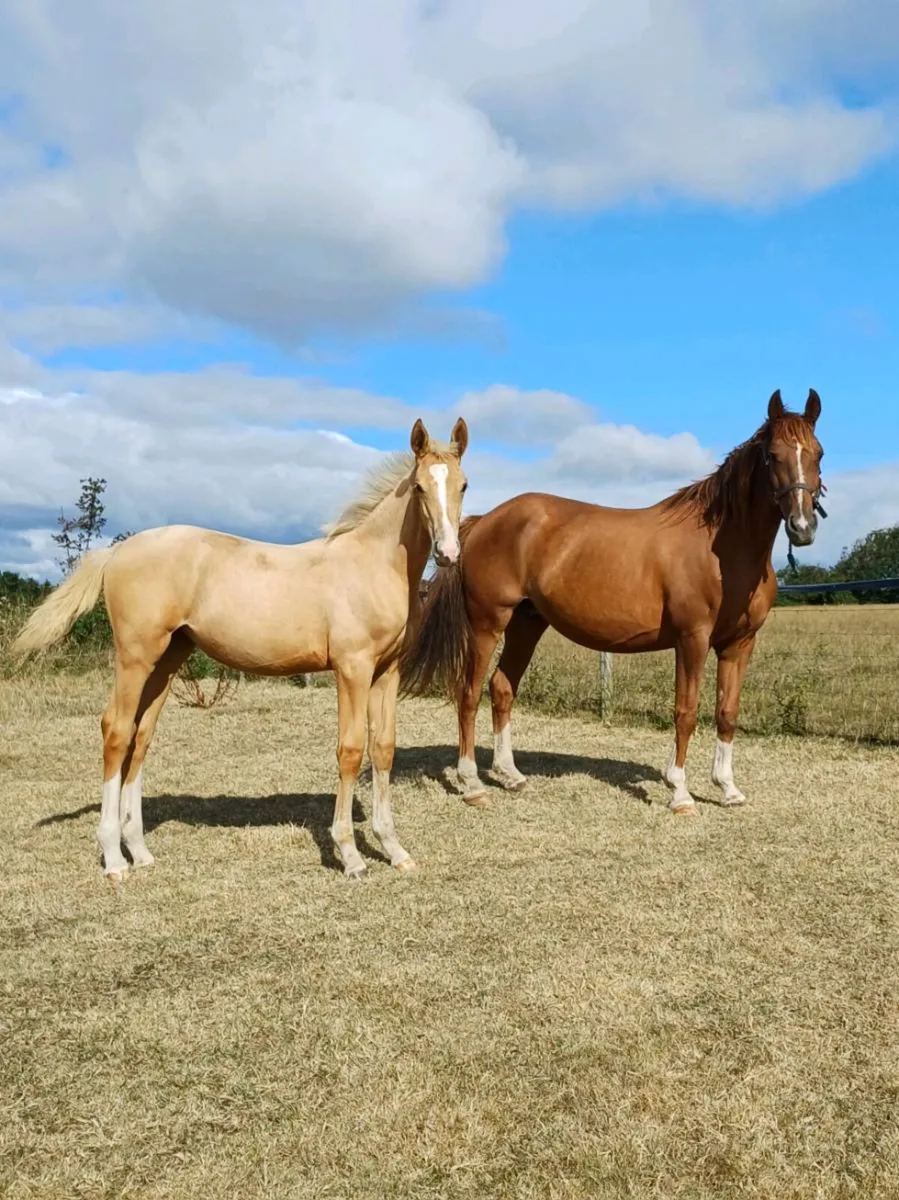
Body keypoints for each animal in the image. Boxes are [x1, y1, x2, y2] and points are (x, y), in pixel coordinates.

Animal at [14, 417, 470, 883]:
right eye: (419, 487)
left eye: (463, 485)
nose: (447, 553)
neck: (370, 565)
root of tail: (118, 549)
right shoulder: (352, 669)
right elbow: (350, 750)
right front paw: (351, 855)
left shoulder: (387, 672)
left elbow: (383, 749)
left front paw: (395, 850)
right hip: (135, 657)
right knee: (117, 731)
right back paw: (113, 860)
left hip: (167, 660)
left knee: (141, 738)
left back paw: (138, 851)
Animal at [400, 390, 825, 812]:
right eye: (773, 455)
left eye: (817, 453)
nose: (802, 528)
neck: (720, 549)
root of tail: (483, 520)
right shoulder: (693, 639)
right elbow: (686, 712)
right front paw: (680, 793)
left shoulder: (739, 644)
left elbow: (727, 712)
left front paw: (728, 788)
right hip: (488, 623)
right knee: (469, 693)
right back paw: (471, 783)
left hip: (527, 622)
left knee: (503, 687)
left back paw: (510, 775)